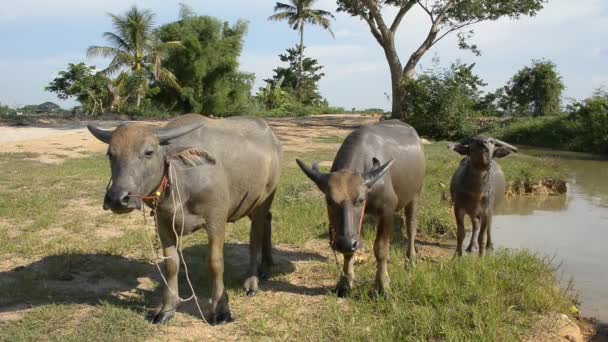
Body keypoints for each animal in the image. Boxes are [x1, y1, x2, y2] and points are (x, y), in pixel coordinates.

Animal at [88, 113, 282, 324]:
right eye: (111, 154)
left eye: (148, 152)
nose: (117, 198)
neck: (180, 181)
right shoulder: (164, 224)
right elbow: (171, 264)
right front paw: (167, 309)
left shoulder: (216, 220)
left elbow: (215, 263)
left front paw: (221, 310)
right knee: (268, 220)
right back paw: (267, 264)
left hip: (263, 199)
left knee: (256, 233)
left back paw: (252, 281)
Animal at [296, 120, 426, 296]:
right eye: (329, 200)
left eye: (361, 200)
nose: (345, 242)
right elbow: (349, 252)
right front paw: (345, 283)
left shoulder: (388, 210)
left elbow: (381, 247)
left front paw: (382, 285)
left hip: (415, 195)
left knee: (411, 227)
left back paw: (410, 260)